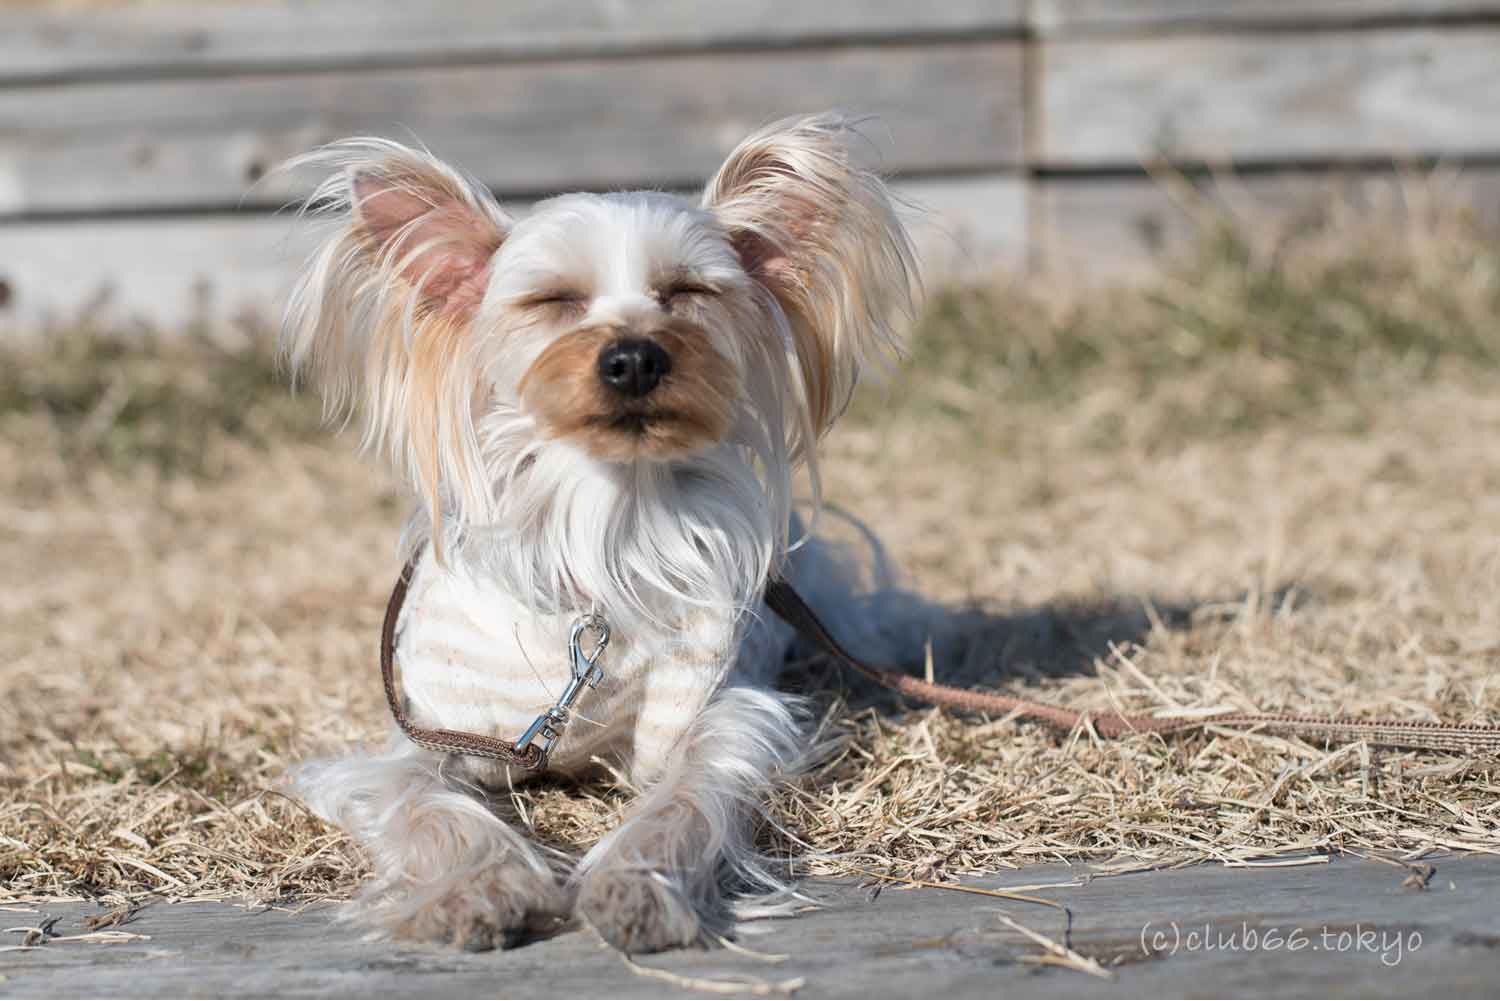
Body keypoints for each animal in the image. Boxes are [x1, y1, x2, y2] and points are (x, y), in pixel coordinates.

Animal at [281, 112, 920, 953]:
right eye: (554, 299)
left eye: (687, 292)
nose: (635, 357)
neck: (608, 513)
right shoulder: (429, 739)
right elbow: (427, 805)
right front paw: (476, 891)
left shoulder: (713, 713)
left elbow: (686, 795)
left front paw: (634, 889)